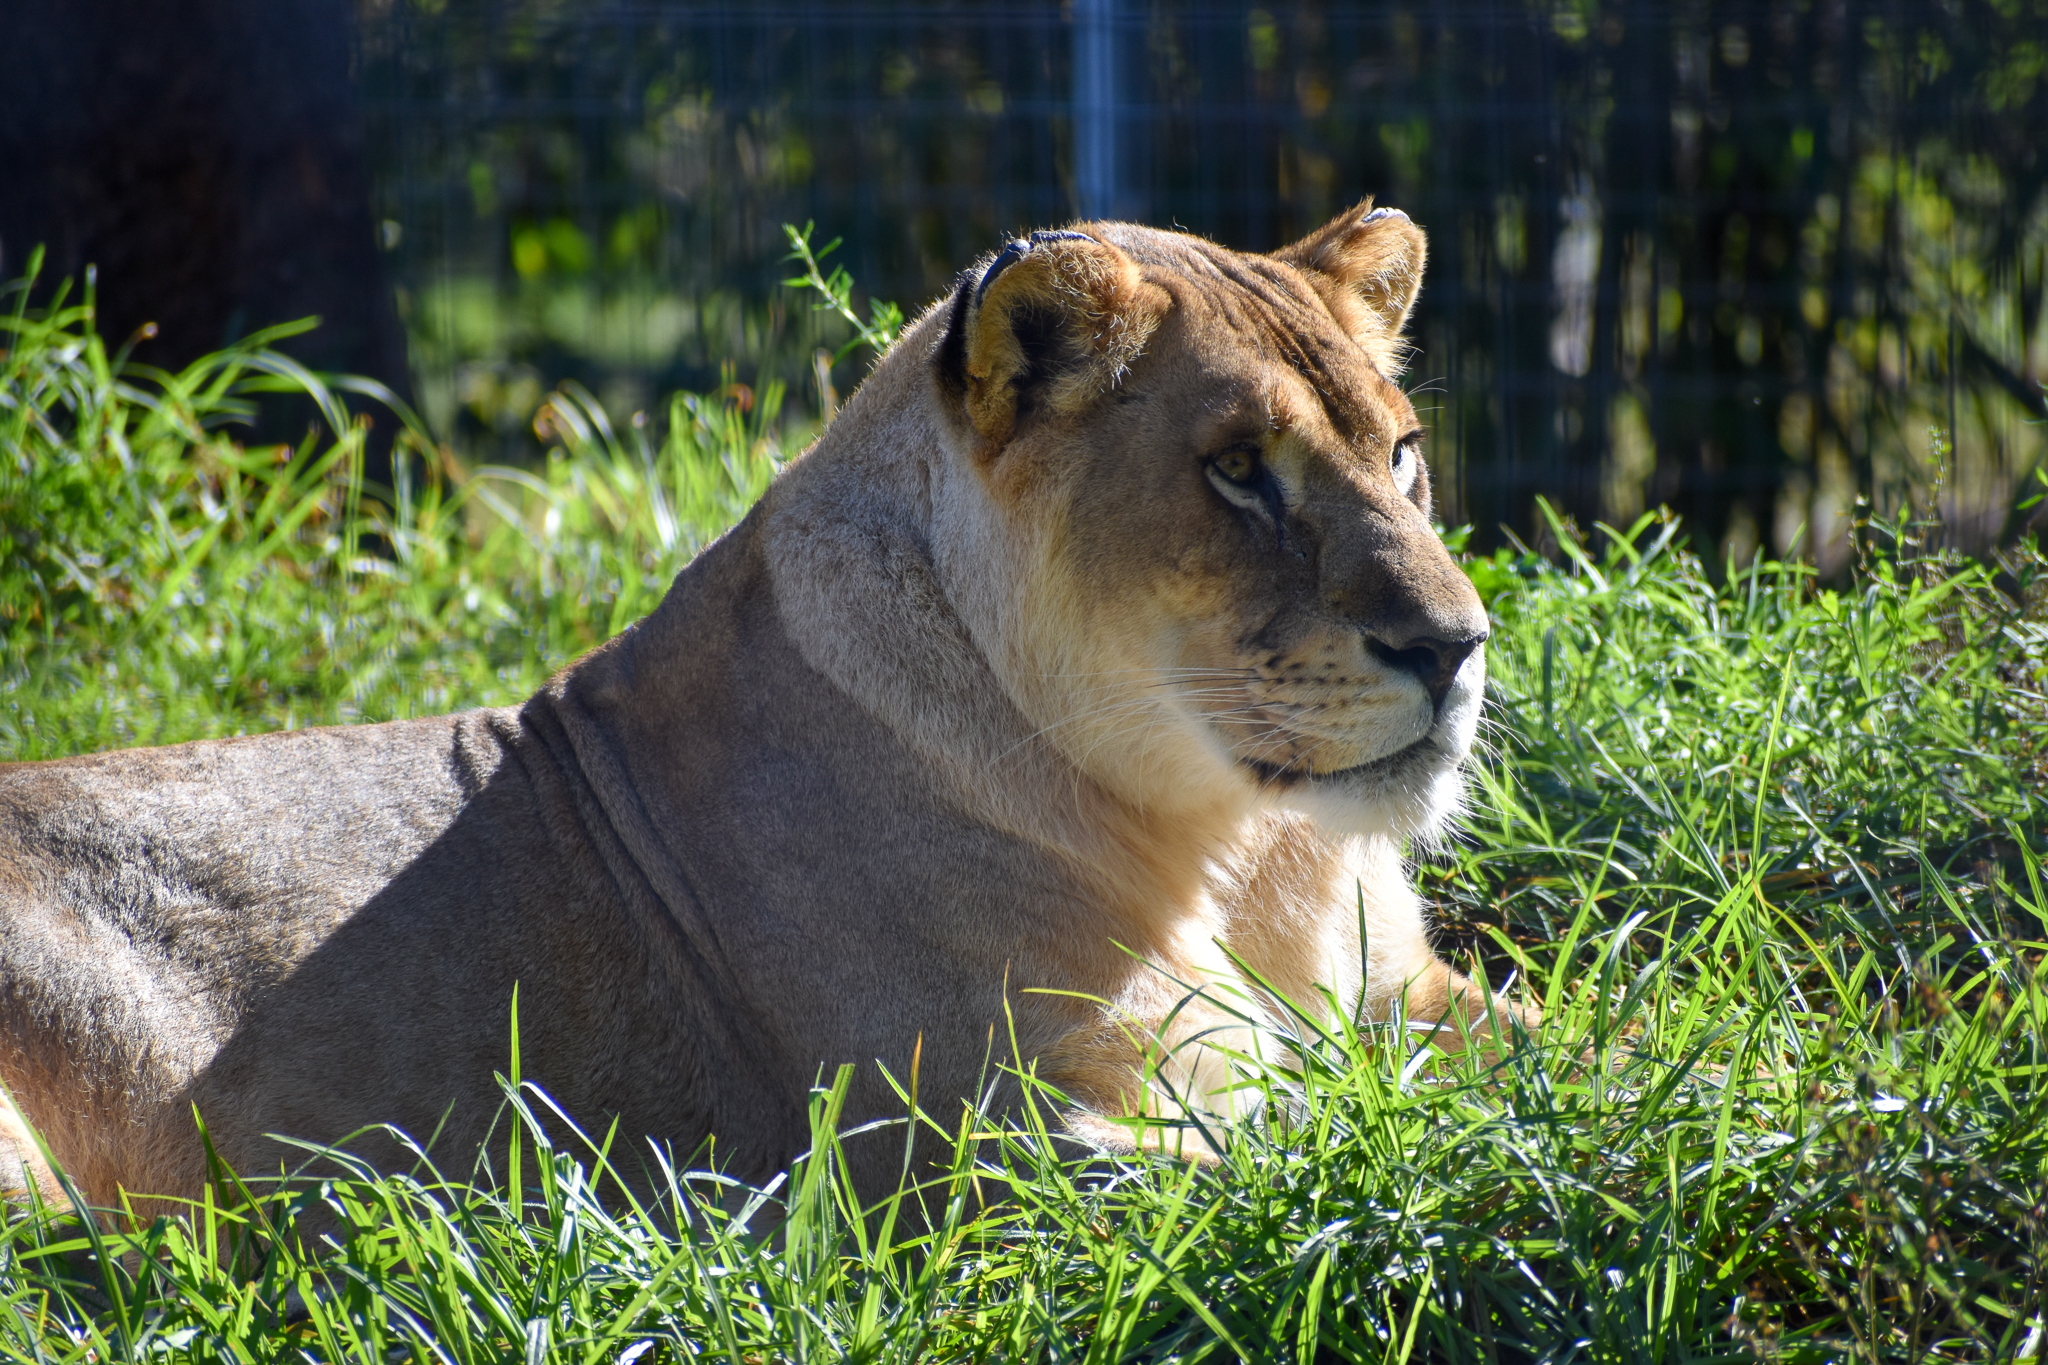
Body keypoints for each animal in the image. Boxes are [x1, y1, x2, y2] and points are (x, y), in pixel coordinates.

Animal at [0, 203, 1515, 1210]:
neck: (1244, 851)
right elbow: (1333, 1141)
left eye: (1402, 451)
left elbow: (1553, 1044)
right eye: (1238, 469)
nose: (1455, 646)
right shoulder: (968, 1147)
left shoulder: (1411, 993)